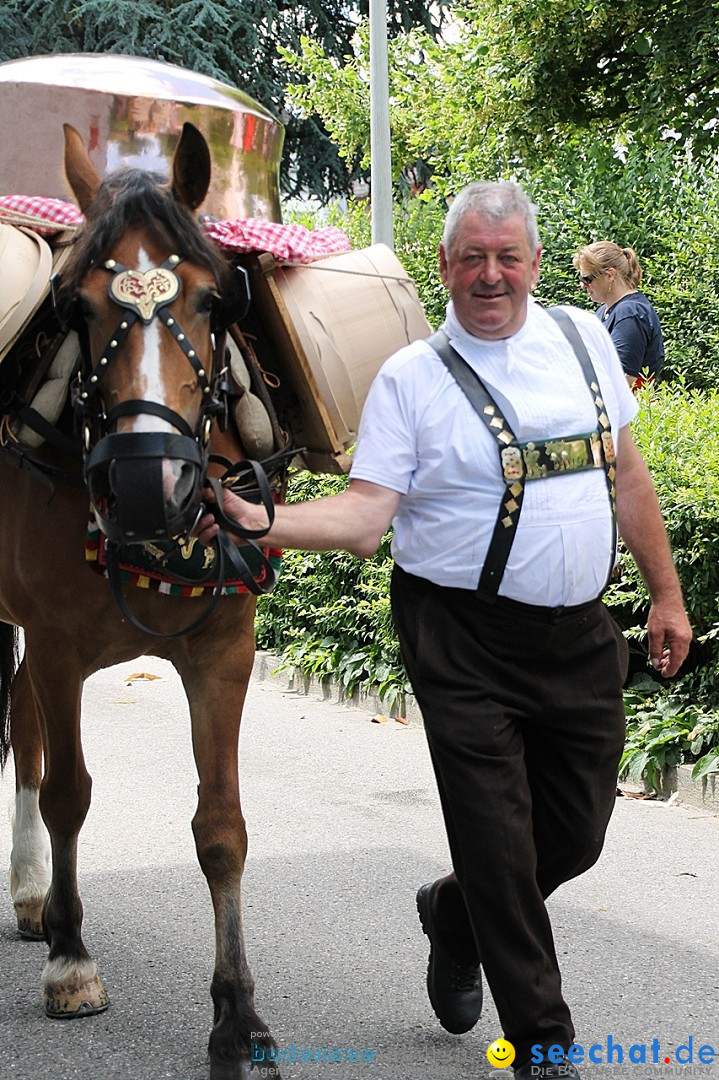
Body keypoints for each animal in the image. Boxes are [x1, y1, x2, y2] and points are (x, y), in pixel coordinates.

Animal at [1, 120, 285, 1080]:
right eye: (78, 307)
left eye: (211, 298)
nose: (146, 483)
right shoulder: (55, 646)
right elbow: (69, 792)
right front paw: (71, 959)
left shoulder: (223, 653)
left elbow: (223, 826)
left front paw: (237, 1012)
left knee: (18, 726)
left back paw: (28, 890)